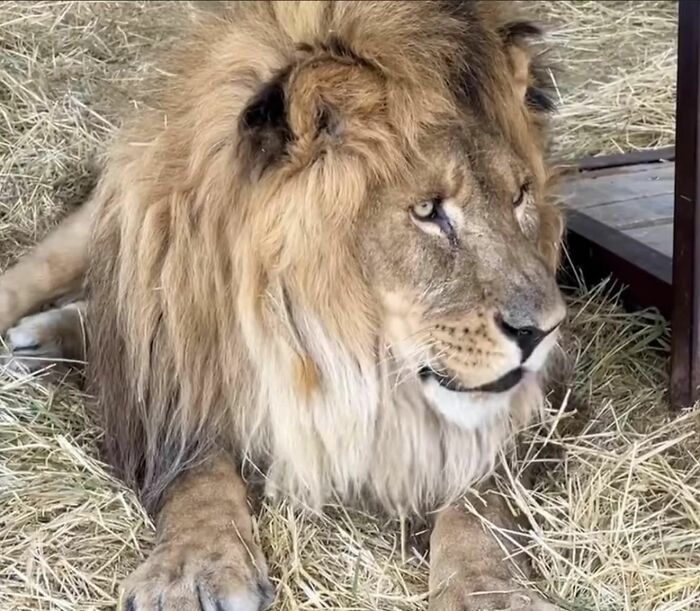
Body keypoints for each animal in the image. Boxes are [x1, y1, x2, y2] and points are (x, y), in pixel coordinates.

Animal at [0, 2, 566, 610]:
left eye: (520, 196)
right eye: (427, 210)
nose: (545, 330)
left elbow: (479, 498)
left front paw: (487, 589)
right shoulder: (178, 369)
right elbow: (197, 464)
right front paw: (194, 565)